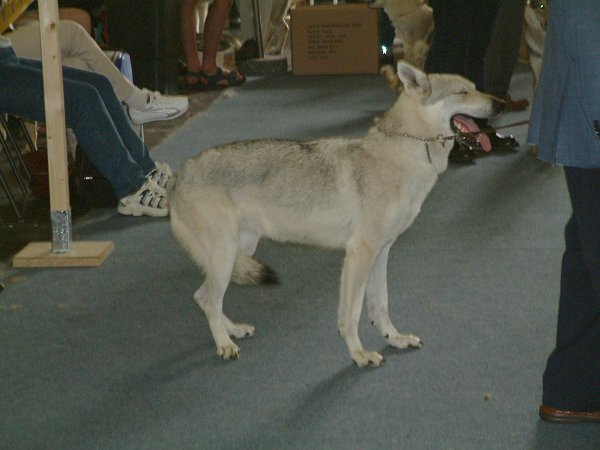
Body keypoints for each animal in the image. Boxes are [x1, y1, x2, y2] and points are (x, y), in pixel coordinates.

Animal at [170, 61, 502, 368]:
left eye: (476, 87)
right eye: (462, 92)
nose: (500, 103)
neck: (402, 156)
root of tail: (180, 173)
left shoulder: (382, 252)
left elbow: (380, 307)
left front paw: (395, 340)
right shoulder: (360, 254)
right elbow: (351, 317)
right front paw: (360, 355)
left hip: (239, 252)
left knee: (203, 297)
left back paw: (234, 331)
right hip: (227, 256)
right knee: (209, 301)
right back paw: (225, 345)